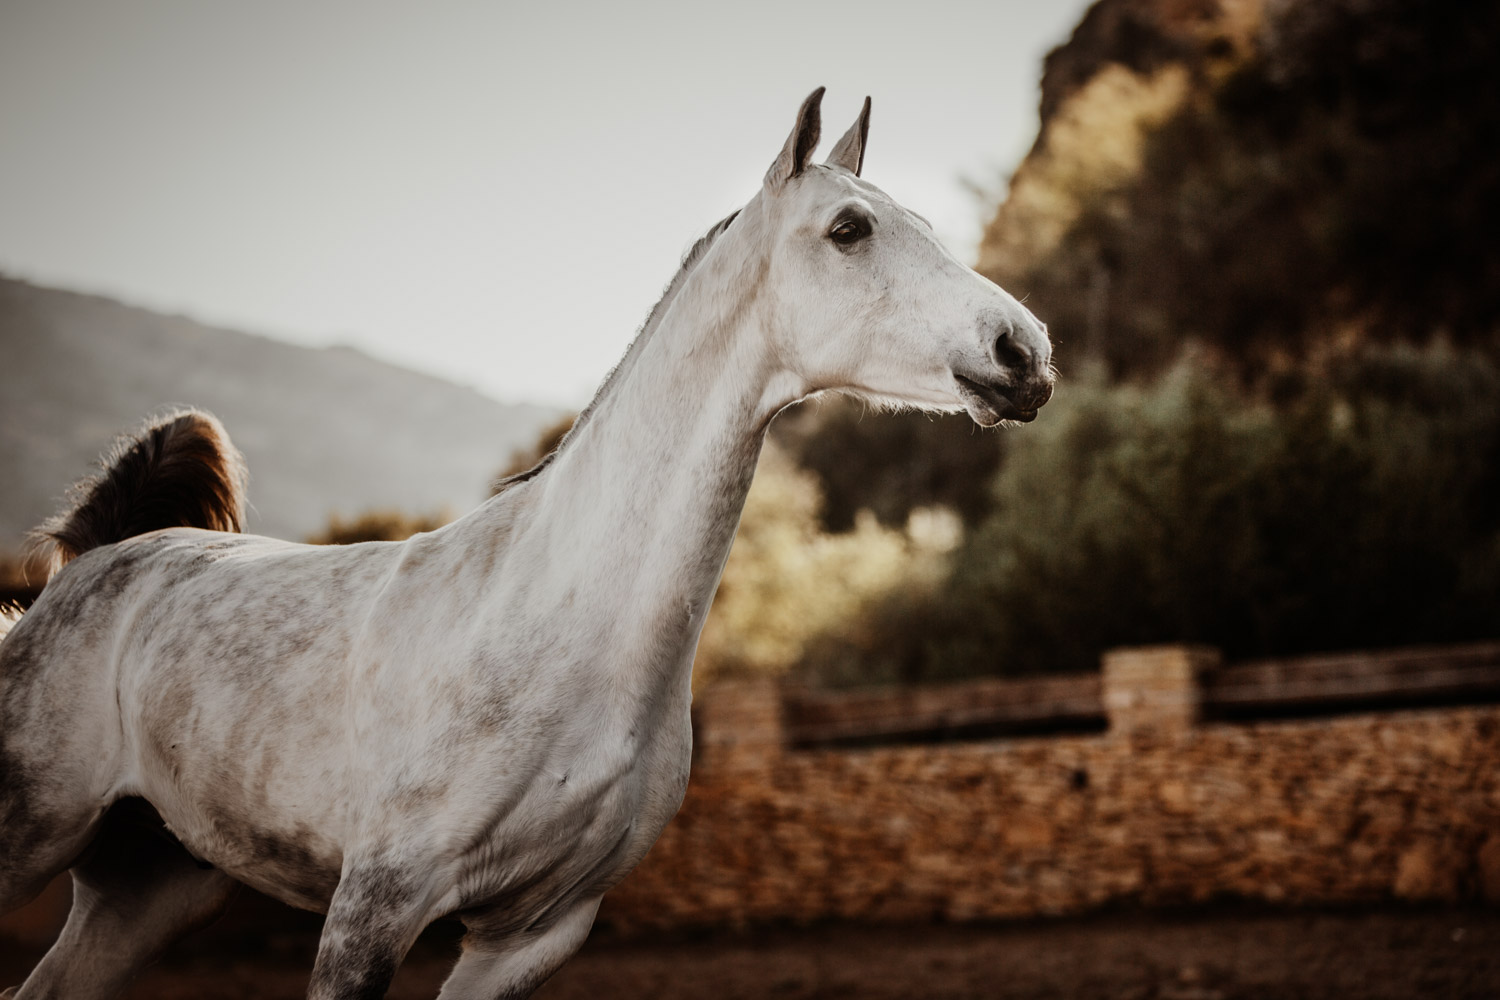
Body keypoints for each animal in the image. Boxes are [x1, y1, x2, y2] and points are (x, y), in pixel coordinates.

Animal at [0, 89, 1056, 995]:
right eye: (848, 230)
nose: (1027, 354)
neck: (556, 618)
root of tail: (88, 568)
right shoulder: (371, 909)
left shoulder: (531, 936)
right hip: (31, 843)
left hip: (151, 889)